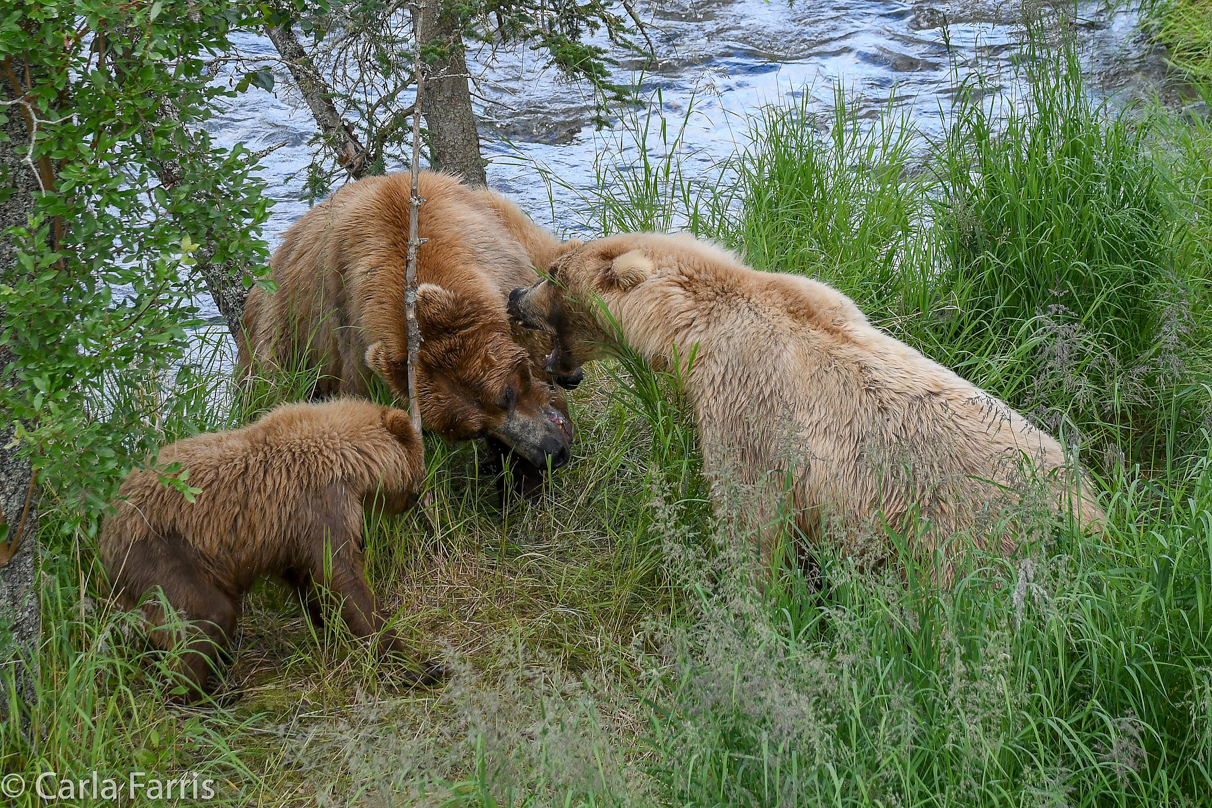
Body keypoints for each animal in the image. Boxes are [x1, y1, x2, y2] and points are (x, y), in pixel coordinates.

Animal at [98, 399, 441, 702]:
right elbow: (341, 574)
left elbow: (309, 576)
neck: (349, 458)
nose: (420, 494)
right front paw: (416, 665)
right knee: (206, 615)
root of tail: (107, 526)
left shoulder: (288, 532)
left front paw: (328, 622)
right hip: (161, 551)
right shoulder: (321, 501)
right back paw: (205, 695)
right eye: (421, 461)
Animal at [238, 172, 579, 474]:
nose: (551, 453)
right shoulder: (351, 340)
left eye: (506, 394)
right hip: (280, 335)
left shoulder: (503, 258)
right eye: (475, 429)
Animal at [511, 232, 1110, 581]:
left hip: (959, 537)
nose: (516, 297)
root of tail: (1087, 512)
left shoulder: (745, 405)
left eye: (554, 272)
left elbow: (752, 520)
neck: (692, 330)